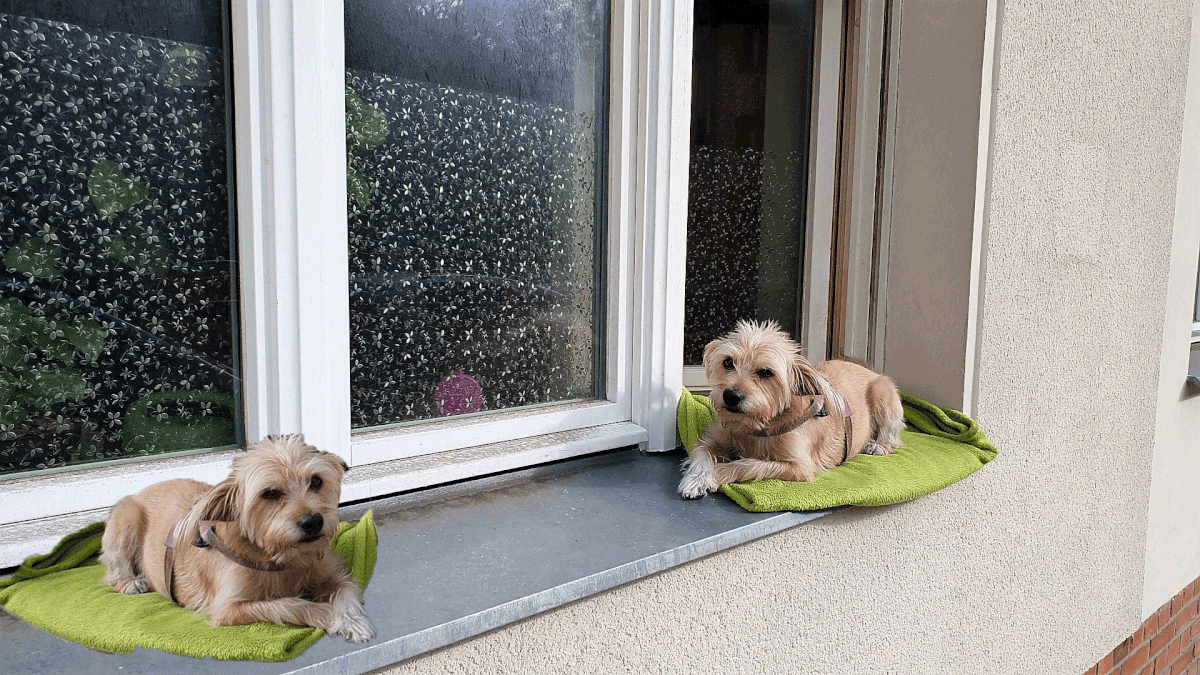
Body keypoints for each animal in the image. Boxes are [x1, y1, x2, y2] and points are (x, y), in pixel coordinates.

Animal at [102, 429, 374, 638]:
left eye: (316, 481)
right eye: (270, 493)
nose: (313, 522)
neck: (279, 556)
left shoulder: (337, 575)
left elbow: (345, 592)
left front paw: (350, 621)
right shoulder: (228, 609)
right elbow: (287, 605)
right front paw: (327, 614)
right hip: (126, 516)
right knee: (113, 573)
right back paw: (132, 582)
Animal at [681, 319, 902, 499]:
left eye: (766, 372)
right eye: (727, 362)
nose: (731, 396)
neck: (757, 424)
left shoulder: (799, 467)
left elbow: (750, 464)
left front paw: (717, 473)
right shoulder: (711, 440)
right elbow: (701, 454)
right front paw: (697, 480)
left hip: (882, 392)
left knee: (893, 438)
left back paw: (878, 445)